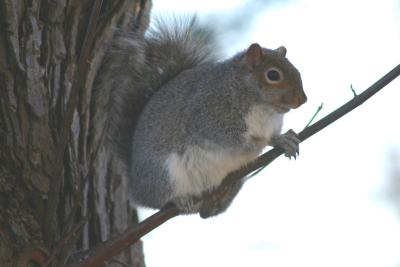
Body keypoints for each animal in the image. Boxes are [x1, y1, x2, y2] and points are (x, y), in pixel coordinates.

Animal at [93, 16, 306, 219]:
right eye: (273, 75)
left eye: (297, 70)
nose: (303, 99)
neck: (264, 109)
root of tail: (136, 188)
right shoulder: (207, 116)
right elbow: (231, 139)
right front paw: (259, 144)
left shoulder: (271, 124)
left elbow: (274, 135)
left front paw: (284, 140)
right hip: (163, 173)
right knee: (160, 200)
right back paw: (179, 200)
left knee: (207, 213)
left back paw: (220, 197)